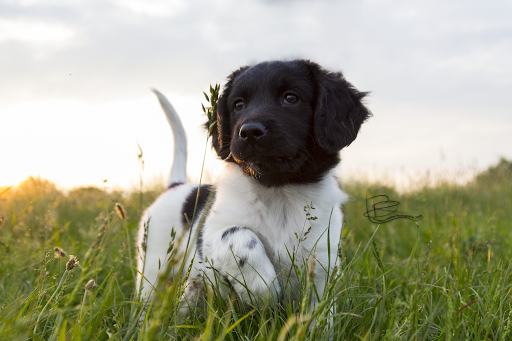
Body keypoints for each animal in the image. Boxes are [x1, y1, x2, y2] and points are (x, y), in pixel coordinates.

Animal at [136, 59, 372, 310]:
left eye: (290, 98)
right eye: (238, 104)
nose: (248, 131)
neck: (279, 193)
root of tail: (177, 185)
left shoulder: (322, 262)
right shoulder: (209, 237)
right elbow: (239, 235)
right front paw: (262, 289)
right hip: (153, 268)